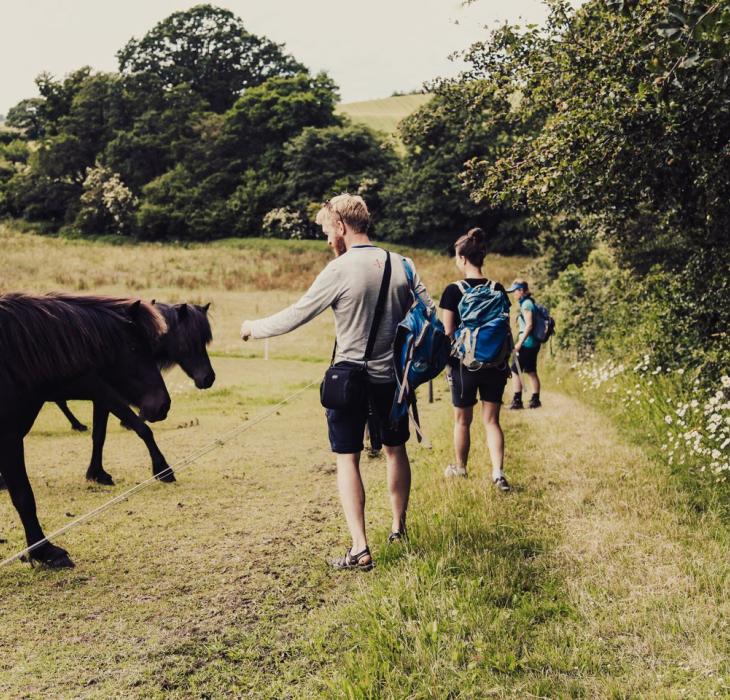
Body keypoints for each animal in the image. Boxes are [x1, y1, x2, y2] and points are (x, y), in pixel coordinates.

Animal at [53, 300, 213, 486]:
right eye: (190, 341)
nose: (209, 378)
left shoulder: (104, 398)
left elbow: (100, 434)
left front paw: (96, 473)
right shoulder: (105, 394)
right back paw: (77, 425)